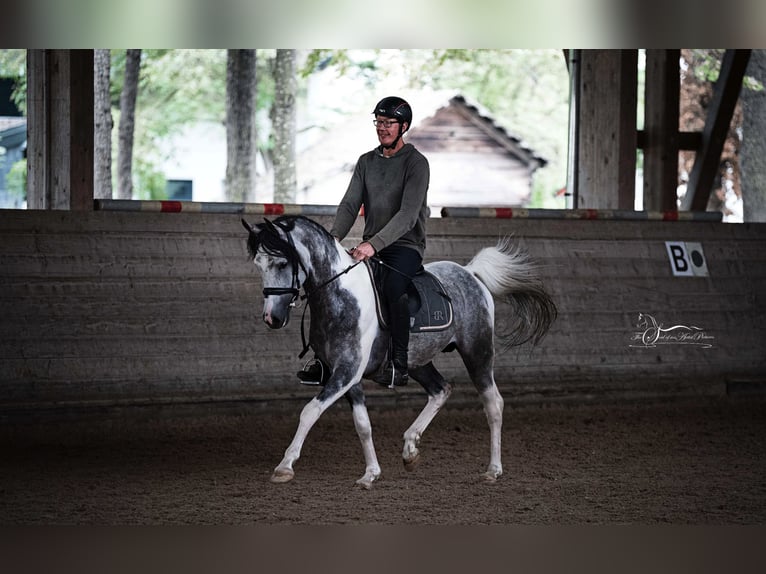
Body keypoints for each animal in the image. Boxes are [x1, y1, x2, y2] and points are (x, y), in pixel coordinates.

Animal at [242, 215, 557, 488]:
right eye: (258, 264)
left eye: (282, 262)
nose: (272, 318)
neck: (340, 295)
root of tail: (470, 273)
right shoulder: (346, 375)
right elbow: (363, 424)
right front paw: (370, 474)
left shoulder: (345, 373)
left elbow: (309, 412)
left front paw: (284, 466)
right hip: (418, 361)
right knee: (441, 390)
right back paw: (410, 448)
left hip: (477, 353)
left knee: (493, 404)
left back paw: (493, 470)